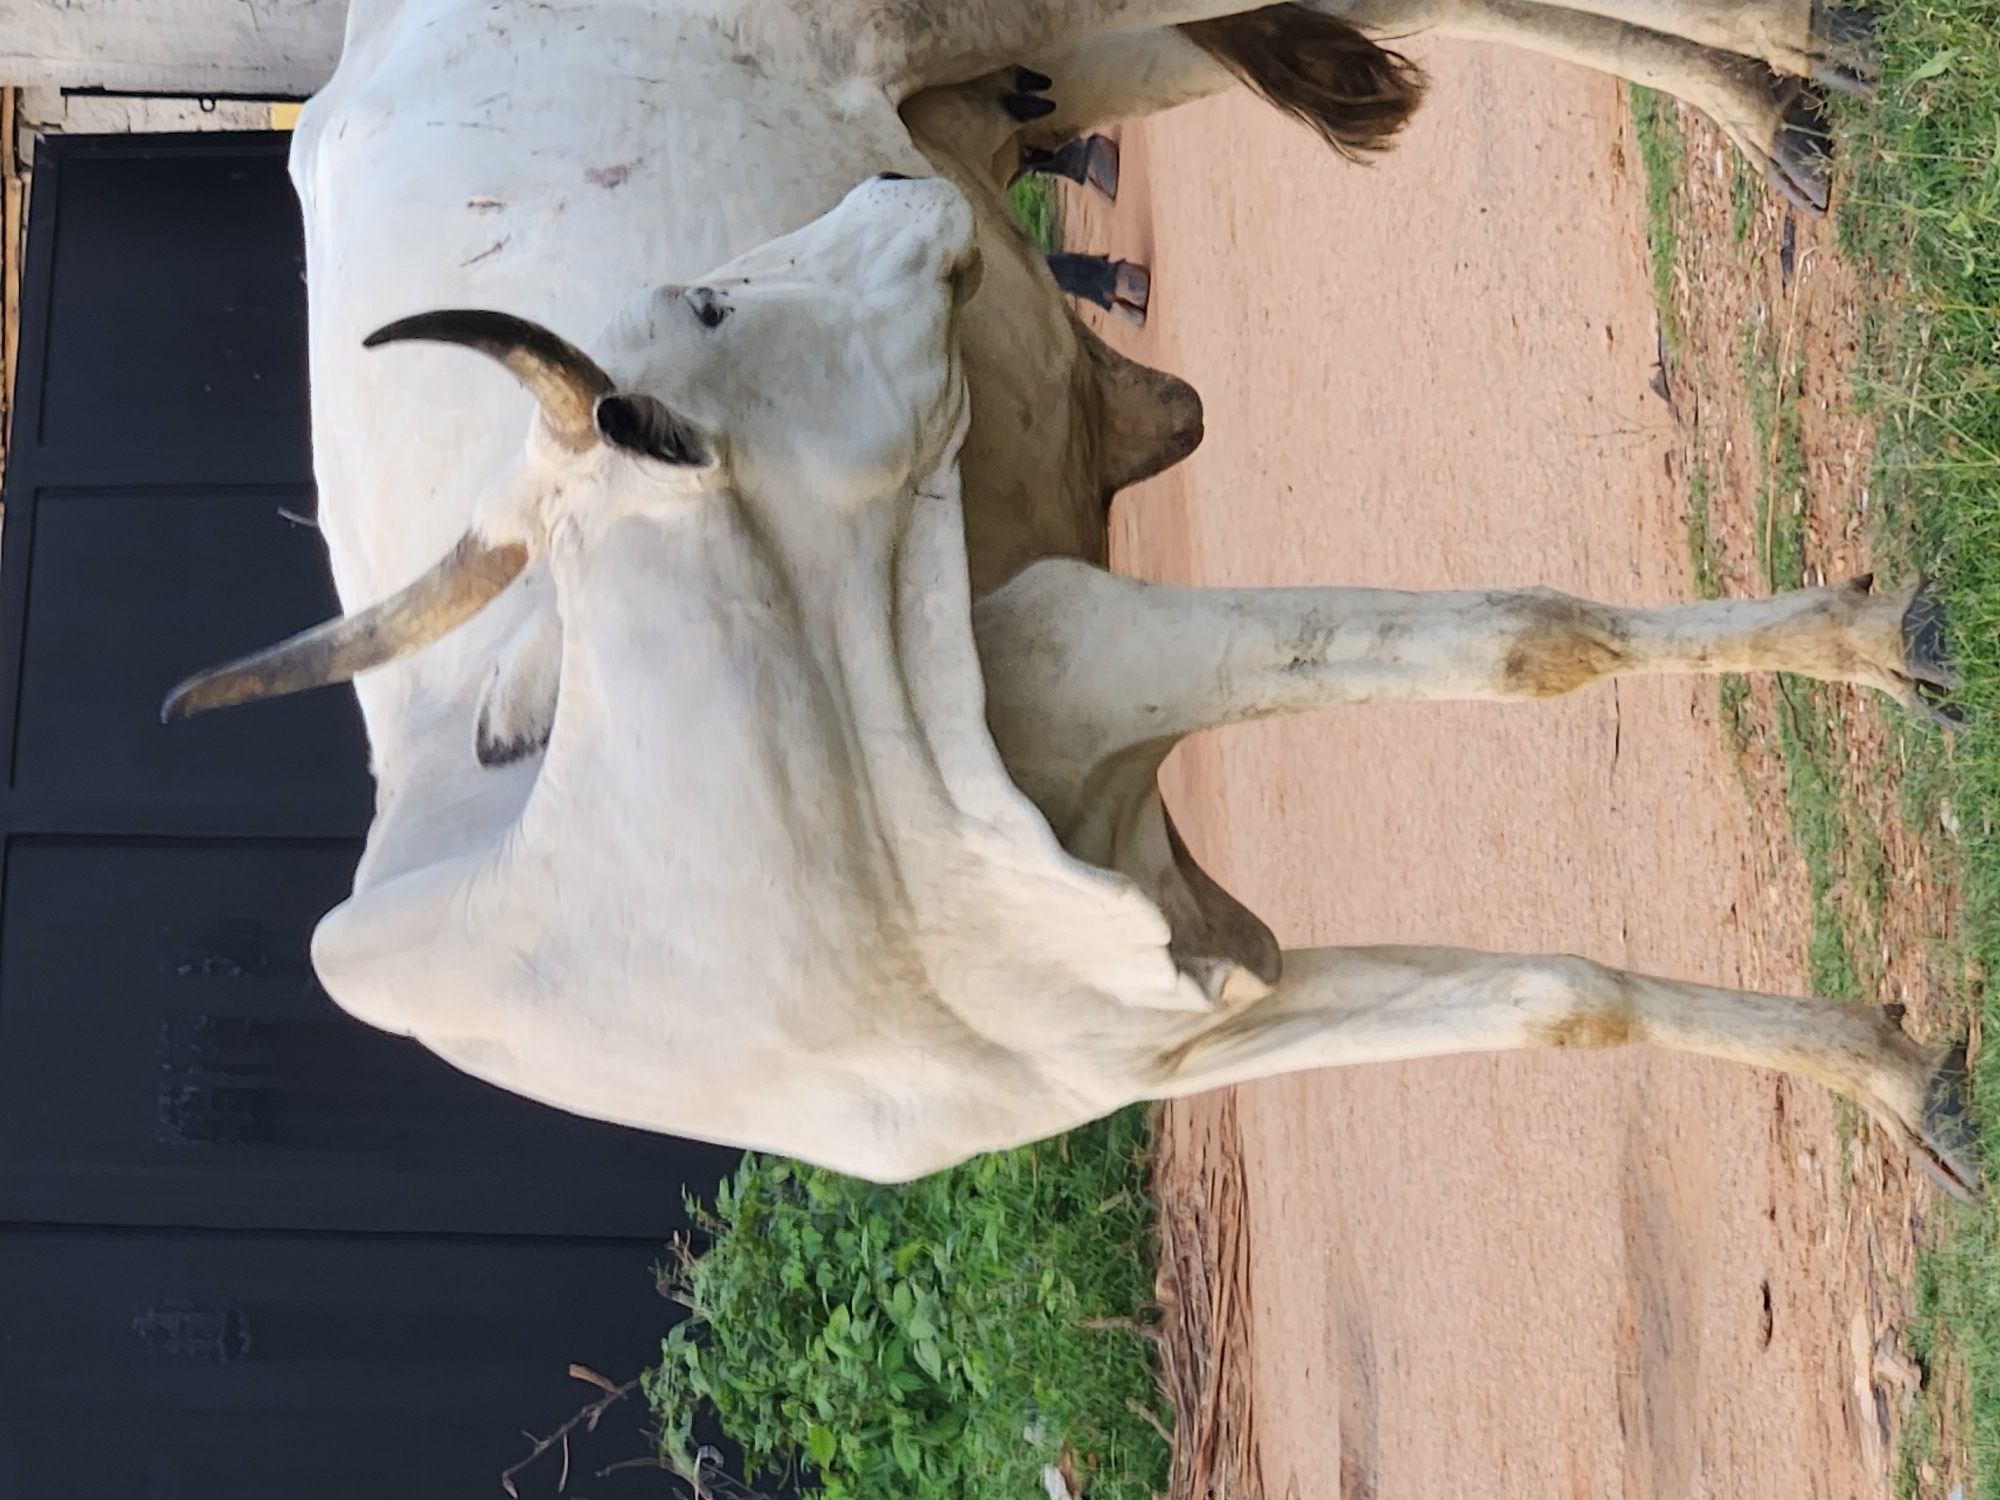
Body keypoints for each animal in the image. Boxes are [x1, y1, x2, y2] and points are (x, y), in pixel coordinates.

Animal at [157, 0, 1971, 1199]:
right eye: (710, 296)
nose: (897, 197)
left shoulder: (1073, 630)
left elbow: (1533, 642)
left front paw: (1880, 641)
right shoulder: (1196, 1014)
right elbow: (1559, 1005)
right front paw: (1887, 1079)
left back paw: (1809, 66)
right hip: (1057, 68)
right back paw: (1774, 108)